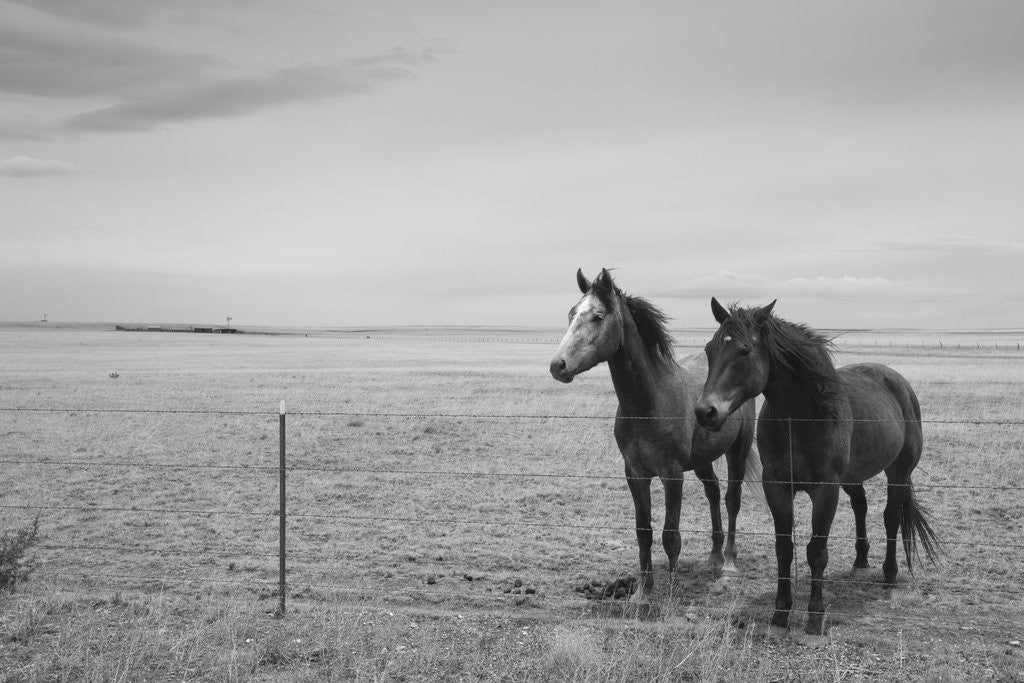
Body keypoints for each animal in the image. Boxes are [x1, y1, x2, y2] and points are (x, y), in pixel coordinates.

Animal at [549, 268, 761, 600]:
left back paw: (728, 562)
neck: (649, 403)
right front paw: (643, 591)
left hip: (737, 451)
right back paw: (714, 556)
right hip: (702, 460)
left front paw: (671, 592)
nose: (558, 366)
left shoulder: (672, 475)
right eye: (571, 313)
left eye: (598, 316)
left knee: (731, 499)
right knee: (713, 493)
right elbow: (643, 531)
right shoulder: (636, 474)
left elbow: (670, 534)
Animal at [694, 298, 939, 634]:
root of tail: (896, 380)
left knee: (891, 518)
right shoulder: (777, 487)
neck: (800, 419)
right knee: (861, 505)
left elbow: (816, 551)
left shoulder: (825, 490)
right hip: (852, 477)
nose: (705, 412)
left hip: (898, 472)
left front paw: (814, 615)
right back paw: (860, 562)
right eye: (709, 350)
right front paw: (781, 612)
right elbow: (784, 549)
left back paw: (889, 575)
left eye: (744, 351)